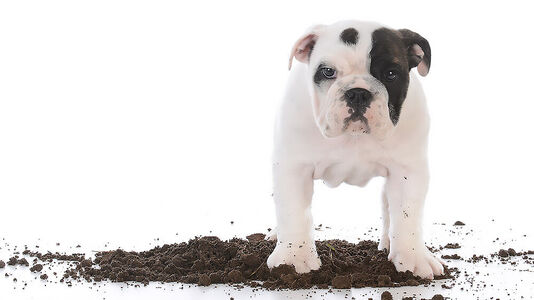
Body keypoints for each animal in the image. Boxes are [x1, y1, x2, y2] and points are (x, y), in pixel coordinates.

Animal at [266, 20, 446, 278]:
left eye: (391, 74)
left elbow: (407, 214)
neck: (354, 137)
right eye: (327, 72)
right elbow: (294, 213)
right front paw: (293, 259)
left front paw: (413, 258)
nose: (358, 92)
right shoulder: (293, 168)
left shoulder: (408, 171)